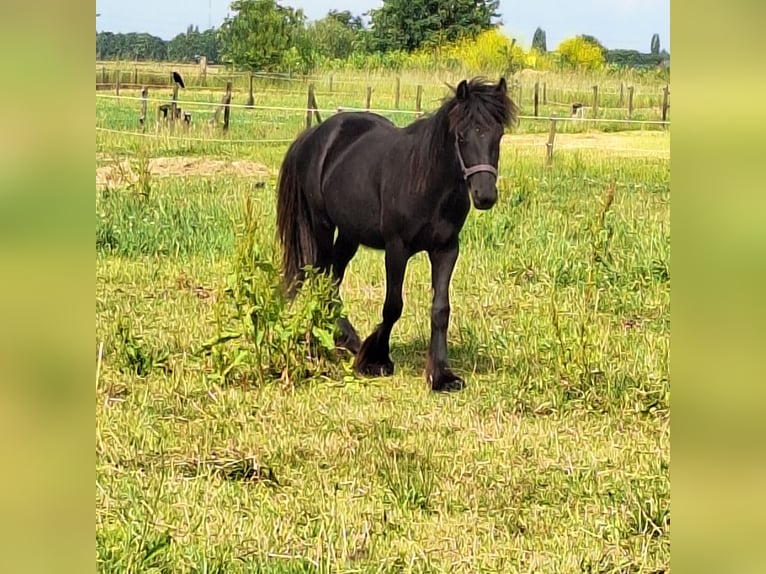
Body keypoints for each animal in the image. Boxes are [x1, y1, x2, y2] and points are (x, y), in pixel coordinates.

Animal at [275, 77, 519, 391]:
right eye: (462, 136)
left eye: (497, 135)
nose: (485, 196)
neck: (428, 184)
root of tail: (314, 134)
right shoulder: (396, 249)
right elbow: (393, 305)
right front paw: (375, 360)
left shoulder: (446, 249)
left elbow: (441, 309)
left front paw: (441, 375)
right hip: (323, 225)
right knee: (322, 276)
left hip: (350, 234)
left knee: (333, 278)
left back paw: (346, 339)